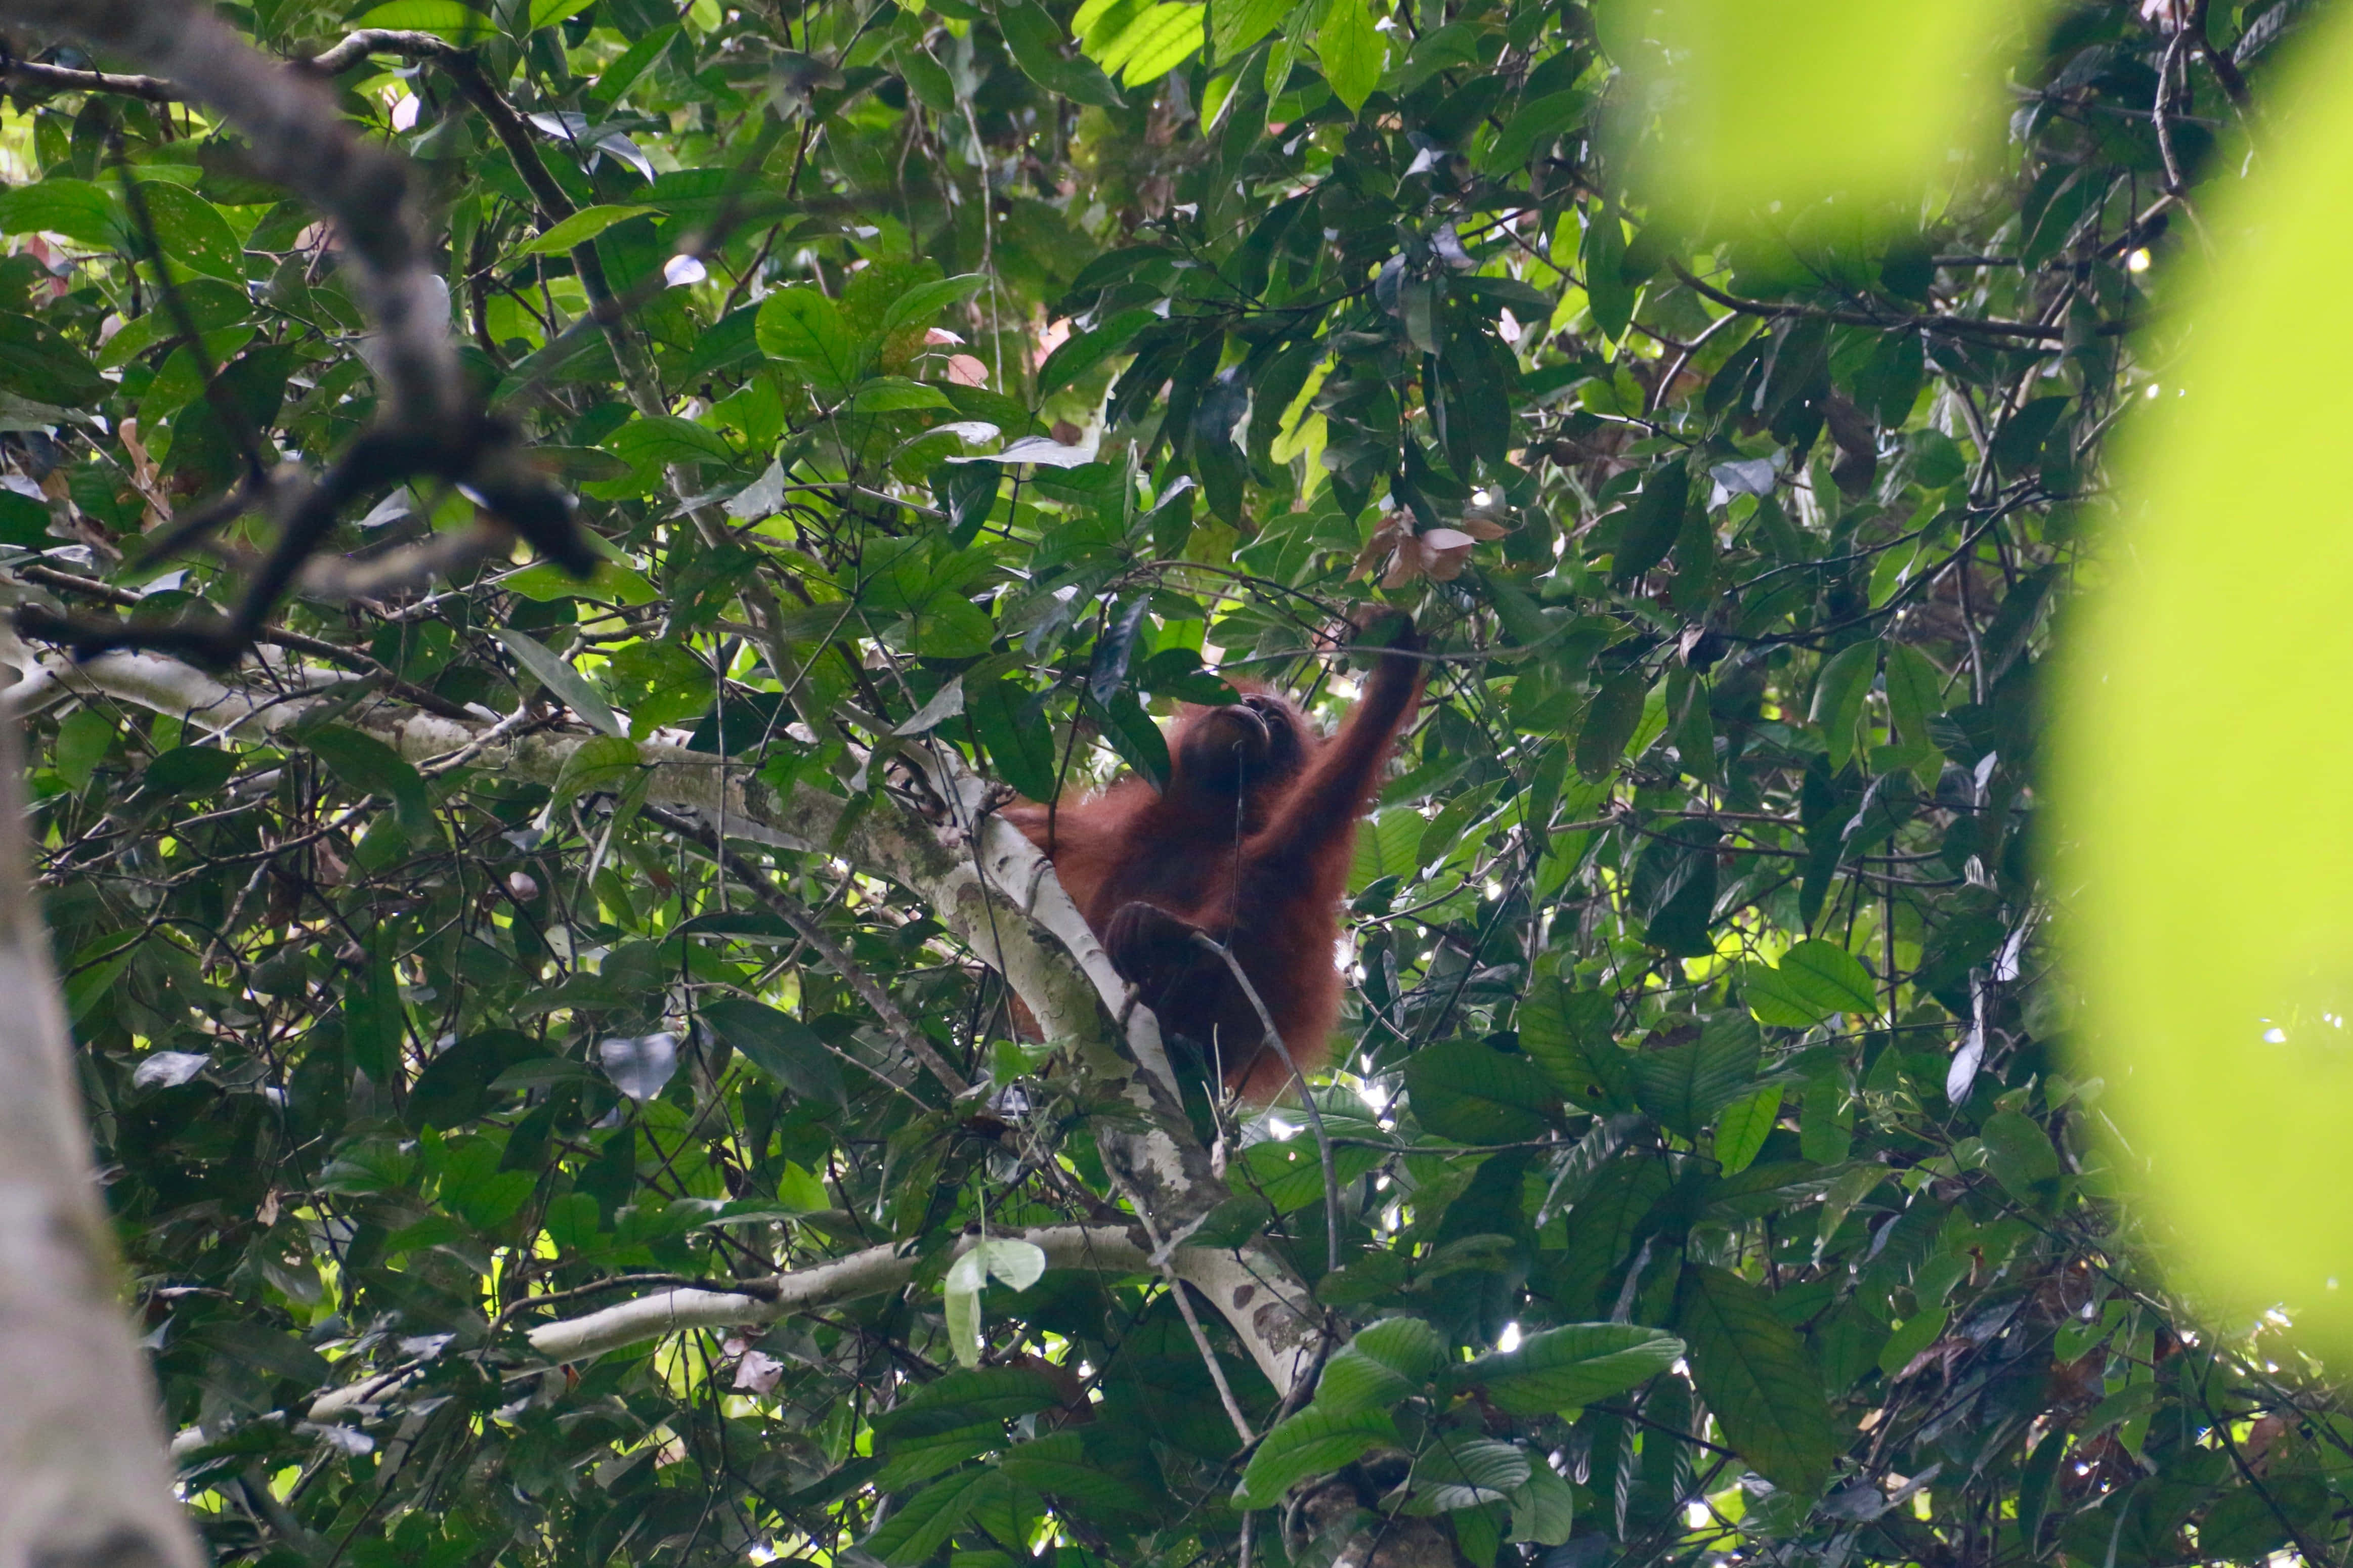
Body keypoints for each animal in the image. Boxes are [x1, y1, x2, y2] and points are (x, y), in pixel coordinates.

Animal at [1003, 618, 1424, 1102]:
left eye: (1274, 723)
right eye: (1250, 704)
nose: (1253, 711)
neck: (1200, 815)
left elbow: (1302, 832)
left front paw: (1395, 674)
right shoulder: (1091, 835)